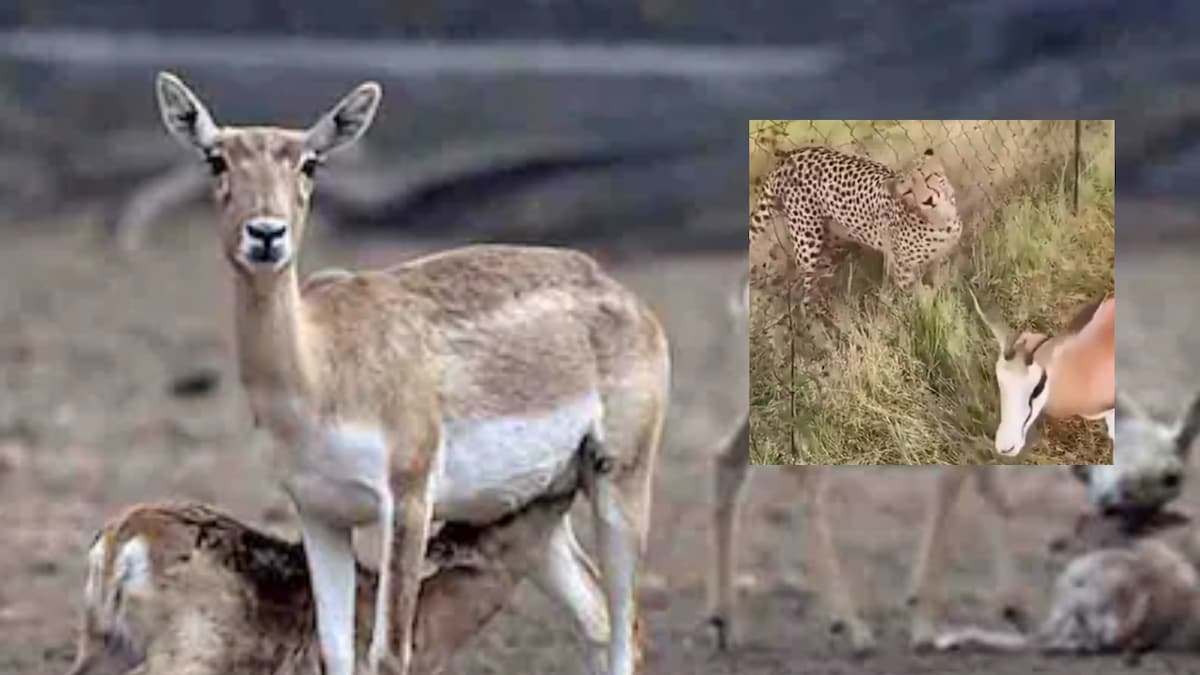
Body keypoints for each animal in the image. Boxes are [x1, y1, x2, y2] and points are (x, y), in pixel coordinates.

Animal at [154, 72, 672, 672]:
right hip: (538, 510)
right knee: (598, 620)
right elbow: (336, 651)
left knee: (625, 626)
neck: (320, 369)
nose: (266, 233)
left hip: (619, 481)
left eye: (311, 163)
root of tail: (620, 293)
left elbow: (389, 653)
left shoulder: (408, 502)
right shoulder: (320, 514)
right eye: (215, 159)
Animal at [748, 147, 964, 314]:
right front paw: (927, 313)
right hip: (808, 242)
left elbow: (940, 285)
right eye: (909, 191)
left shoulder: (941, 259)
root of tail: (790, 155)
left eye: (928, 178)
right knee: (805, 288)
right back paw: (811, 319)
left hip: (830, 242)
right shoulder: (903, 269)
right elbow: (918, 297)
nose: (928, 200)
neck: (939, 220)